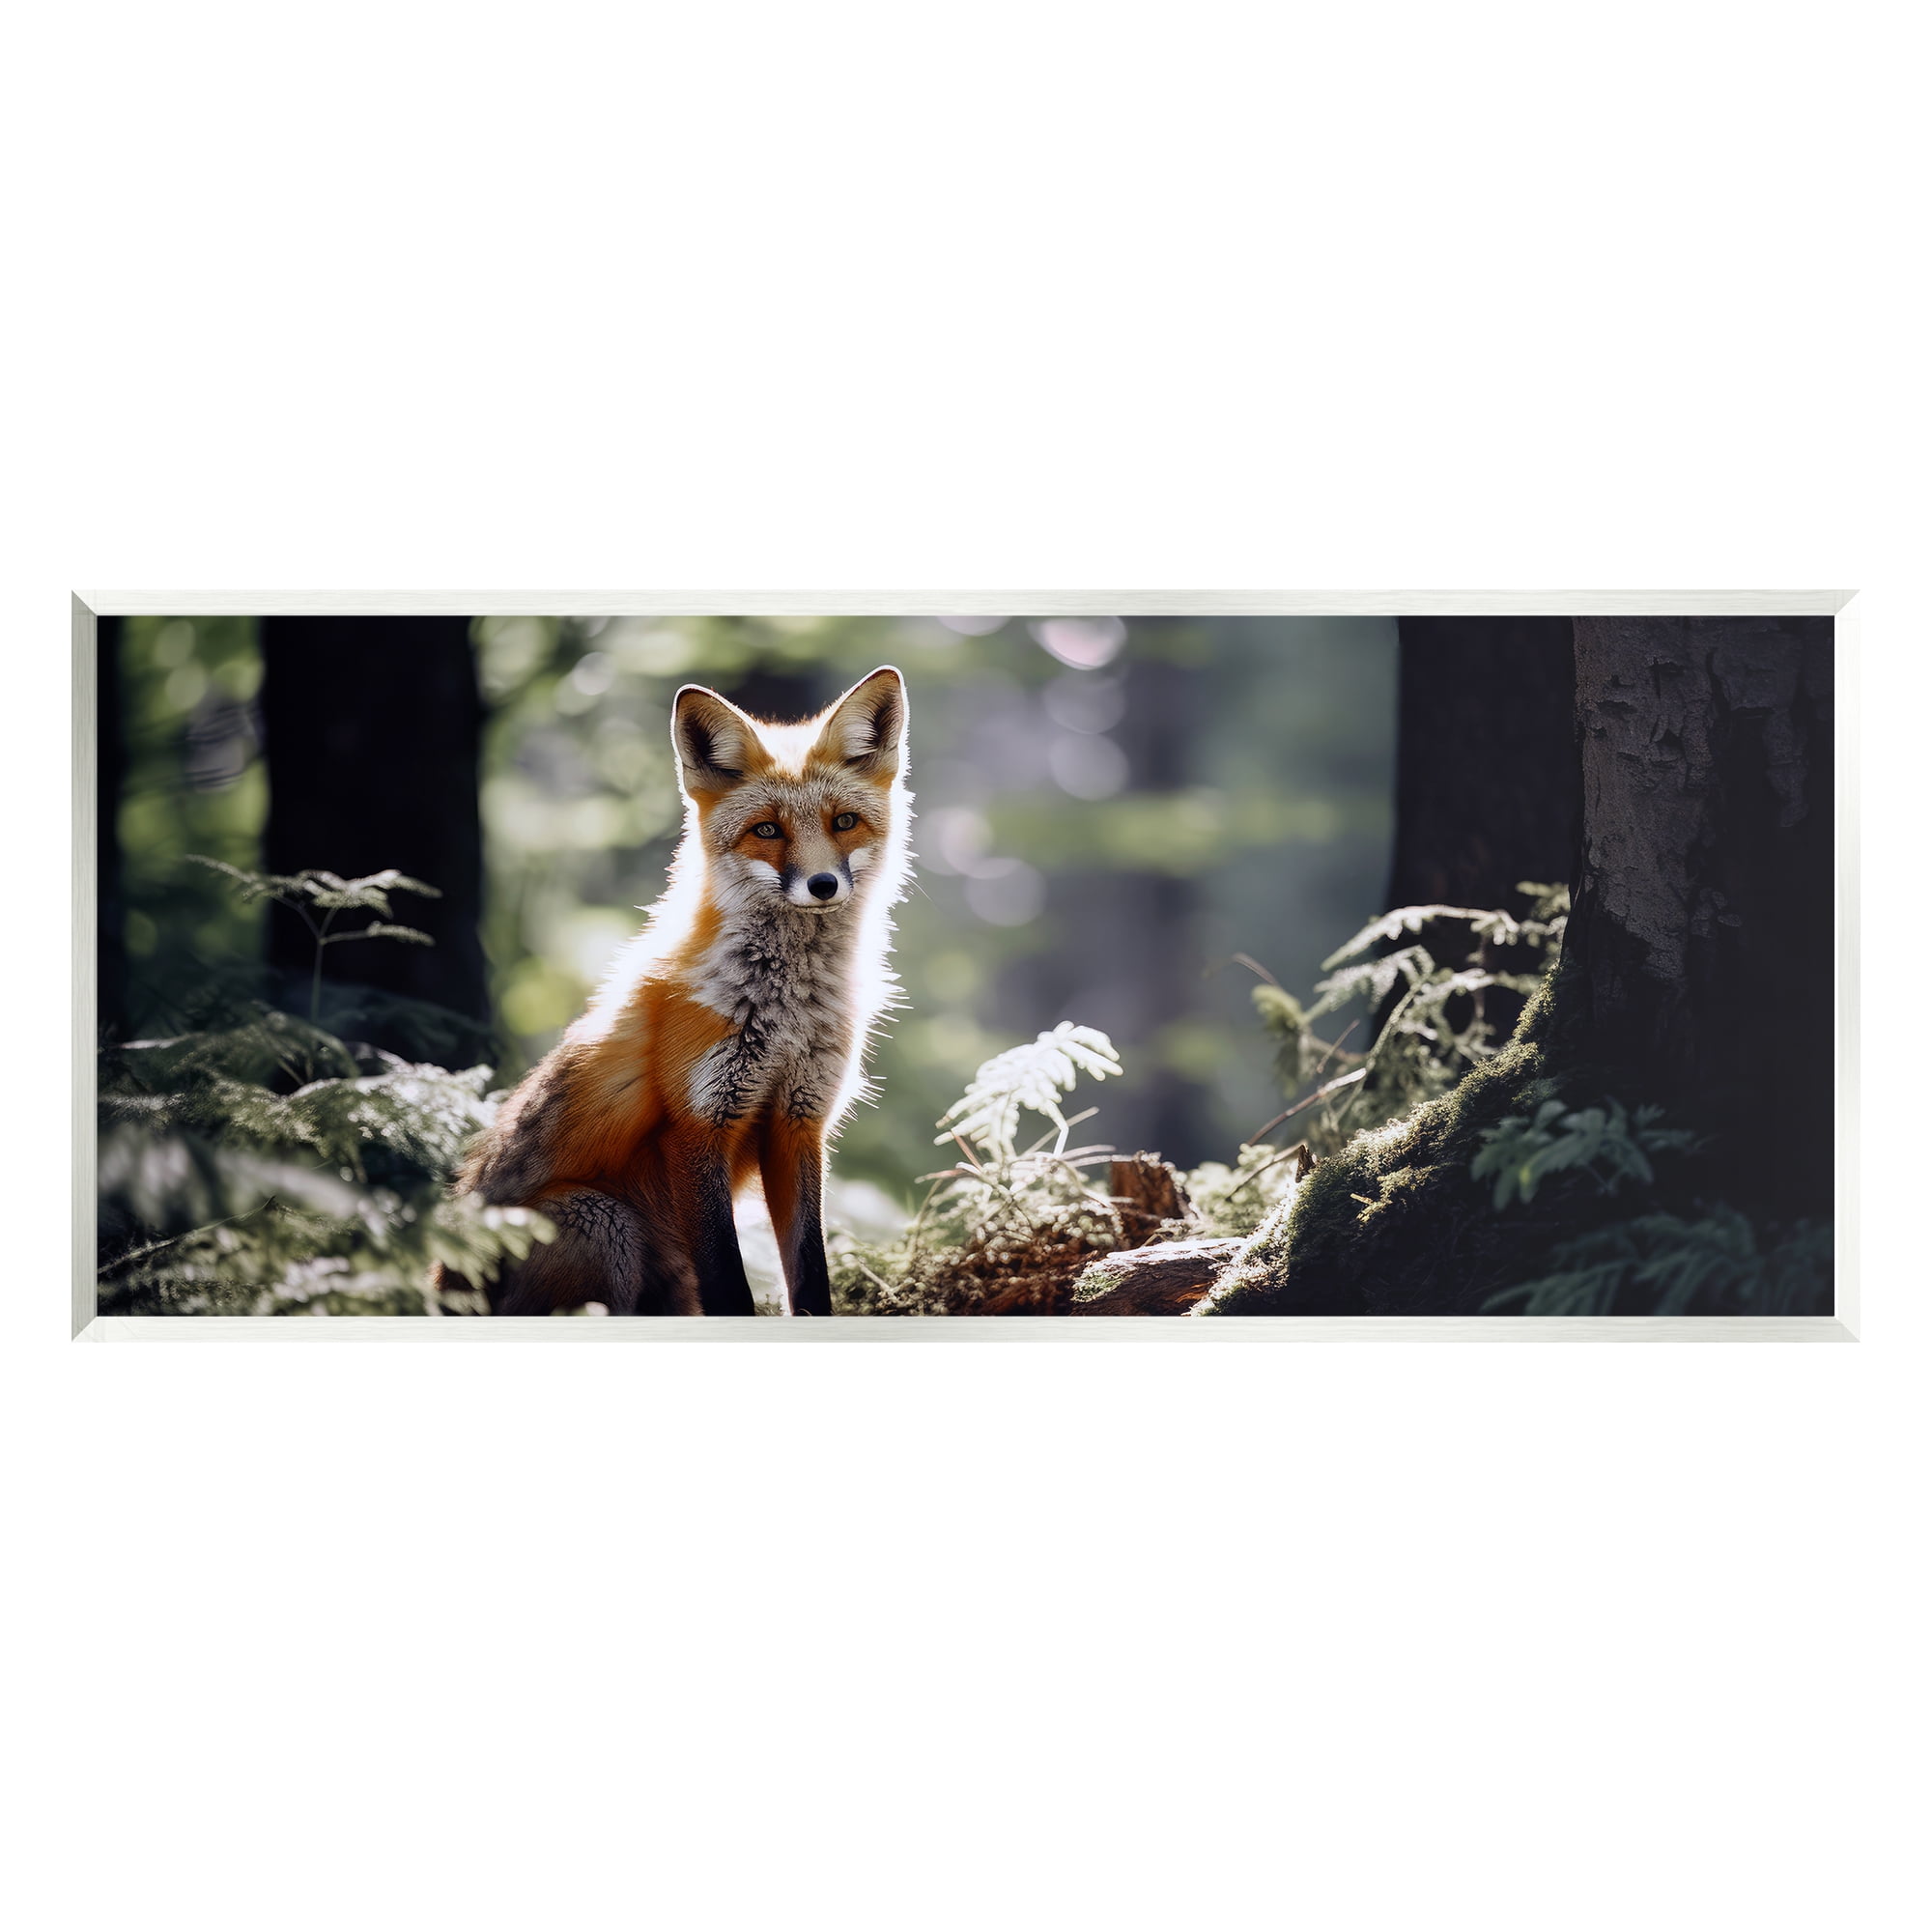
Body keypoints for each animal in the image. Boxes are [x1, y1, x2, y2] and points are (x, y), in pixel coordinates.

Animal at [440, 665, 912, 1316]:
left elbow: (810, 1274)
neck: (786, 1012)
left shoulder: (798, 1123)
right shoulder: (697, 1124)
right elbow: (729, 1283)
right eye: (767, 830)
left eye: (844, 822)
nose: (823, 885)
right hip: (599, 1220)